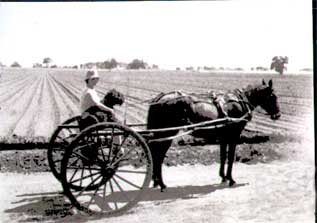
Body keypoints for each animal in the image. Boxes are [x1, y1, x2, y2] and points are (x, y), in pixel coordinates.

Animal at [145, 79, 278, 191]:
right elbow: (230, 157)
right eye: (273, 96)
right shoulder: (233, 136)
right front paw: (231, 179)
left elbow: (223, 156)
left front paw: (223, 177)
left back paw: (156, 181)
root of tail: (160, 98)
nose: (278, 115)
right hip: (167, 133)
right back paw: (161, 183)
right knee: (158, 156)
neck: (239, 102)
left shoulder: (223, 137)